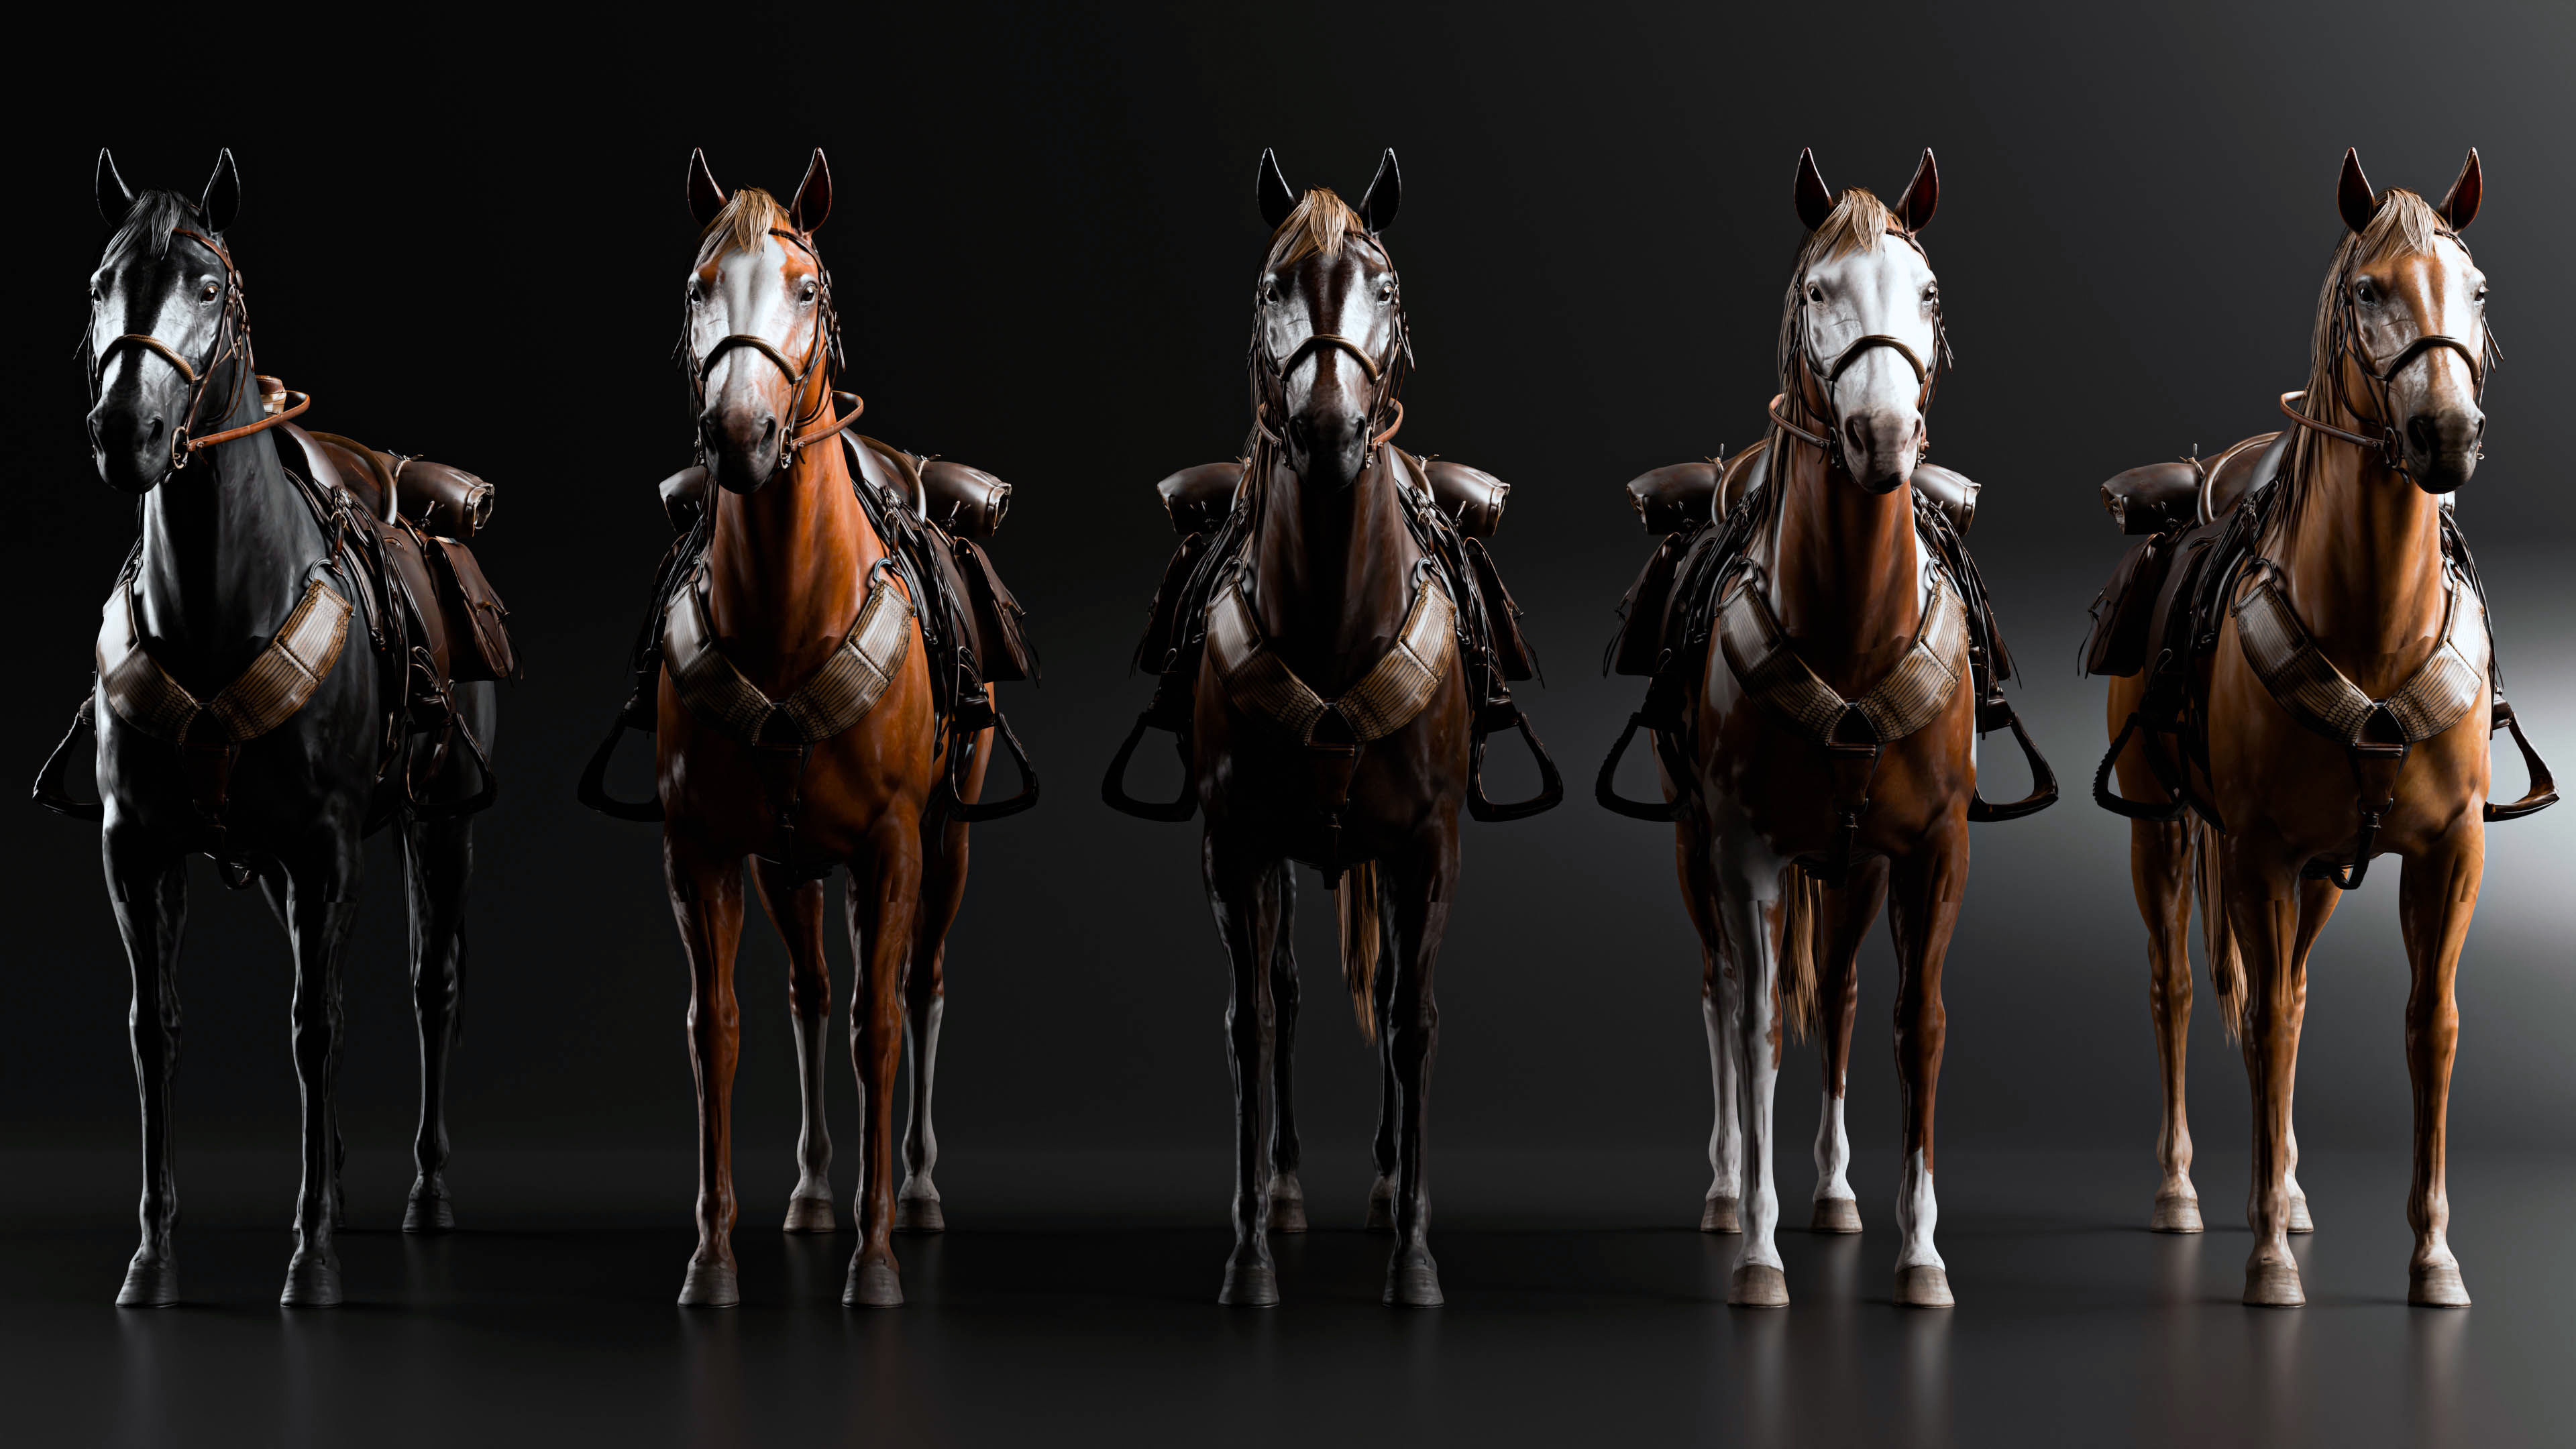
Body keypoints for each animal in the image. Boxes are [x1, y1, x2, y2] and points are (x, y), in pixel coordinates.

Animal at [66, 149, 502, 1306]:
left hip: (438, 826)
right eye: (102, 284)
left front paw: (312, 1260)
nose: (127, 432)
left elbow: (320, 1027)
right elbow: (152, 1033)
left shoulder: (328, 849)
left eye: (208, 287)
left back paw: (423, 1193)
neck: (222, 604)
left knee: (433, 986)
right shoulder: (138, 850)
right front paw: (151, 1257)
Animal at [629, 148, 1034, 1308]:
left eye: (805, 289)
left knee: (920, 985)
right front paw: (713, 1258)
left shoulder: (895, 848)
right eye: (697, 288)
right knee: (810, 993)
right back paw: (814, 1193)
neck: (786, 612)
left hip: (945, 843)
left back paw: (917, 1192)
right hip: (790, 865)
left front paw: (880, 1255)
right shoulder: (703, 853)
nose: (740, 435)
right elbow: (717, 1030)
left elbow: (882, 1026)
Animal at [1103, 149, 1561, 1306]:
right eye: (1274, 285)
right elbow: (1253, 1020)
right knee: (1291, 997)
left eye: (1383, 286)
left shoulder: (1429, 849)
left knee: (1390, 991)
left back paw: (1392, 1189)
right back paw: (1288, 1192)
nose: (1325, 431)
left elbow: (1411, 1021)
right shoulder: (1235, 848)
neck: (1333, 613)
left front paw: (1415, 1258)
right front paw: (1250, 1254)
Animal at [1597, 149, 2054, 1308]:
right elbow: (1758, 1025)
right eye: (1817, 291)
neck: (1848, 628)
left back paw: (1839, 1195)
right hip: (1695, 844)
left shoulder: (1932, 852)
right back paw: (1727, 1190)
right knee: (1721, 992)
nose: (1881, 437)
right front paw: (1759, 1255)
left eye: (1928, 293)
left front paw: (1920, 1252)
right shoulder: (1748, 850)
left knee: (1843, 1000)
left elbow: (1913, 1025)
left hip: (1854, 871)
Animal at [2090, 149, 2553, 1307]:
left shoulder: (2446, 854)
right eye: (2368, 292)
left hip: (2319, 876)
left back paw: (2291, 1189)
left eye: (2477, 292)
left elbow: (2428, 1026)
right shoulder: (2256, 853)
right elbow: (2259, 1021)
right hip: (2162, 831)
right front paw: (2263, 1261)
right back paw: (2183, 1190)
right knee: (2179, 989)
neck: (2374, 625)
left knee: (2290, 986)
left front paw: (2433, 1256)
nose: (2446, 434)